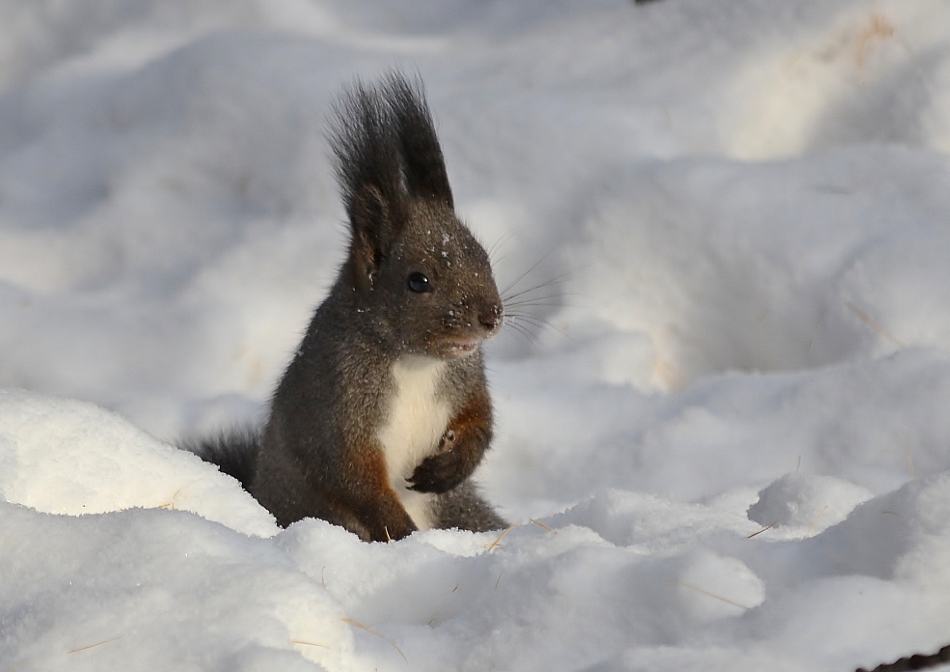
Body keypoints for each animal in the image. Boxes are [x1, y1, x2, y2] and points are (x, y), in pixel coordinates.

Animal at [184, 76, 506, 544]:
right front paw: (404, 532)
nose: (492, 317)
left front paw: (449, 467)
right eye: (418, 281)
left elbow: (479, 419)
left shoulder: (466, 379)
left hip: (463, 511)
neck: (415, 361)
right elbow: (352, 477)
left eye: (483, 256)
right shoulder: (336, 406)